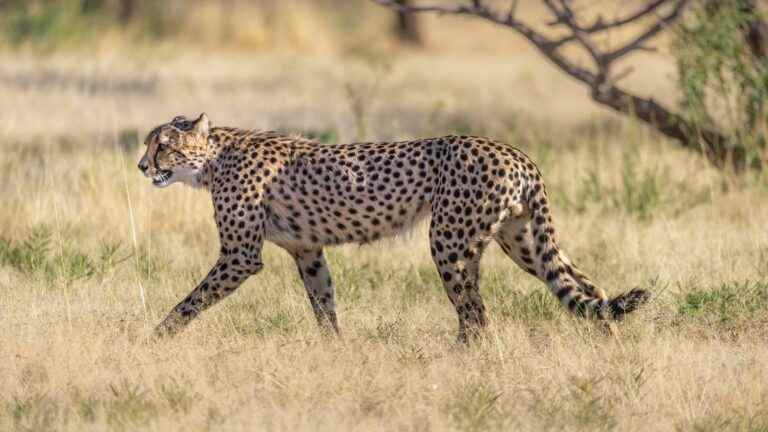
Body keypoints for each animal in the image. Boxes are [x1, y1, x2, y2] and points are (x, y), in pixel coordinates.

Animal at [136, 114, 648, 340]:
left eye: (164, 146)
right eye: (148, 143)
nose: (141, 166)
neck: (214, 157)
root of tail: (515, 152)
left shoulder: (240, 256)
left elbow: (190, 301)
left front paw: (154, 339)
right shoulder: (308, 251)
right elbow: (324, 304)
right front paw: (336, 352)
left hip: (449, 241)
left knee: (476, 315)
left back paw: (458, 362)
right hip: (521, 241)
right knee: (587, 288)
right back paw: (606, 342)